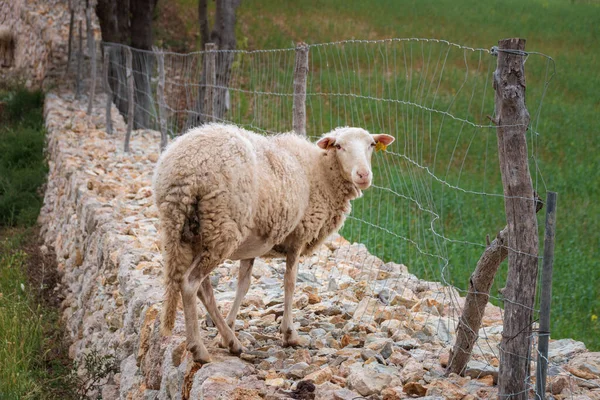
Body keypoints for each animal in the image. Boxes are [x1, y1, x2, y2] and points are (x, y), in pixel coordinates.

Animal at [152, 123, 394, 364]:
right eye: (339, 146)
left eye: (371, 145)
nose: (363, 175)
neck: (322, 172)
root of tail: (183, 169)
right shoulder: (298, 237)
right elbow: (290, 283)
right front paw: (289, 334)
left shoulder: (252, 246)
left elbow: (243, 285)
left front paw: (227, 330)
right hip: (222, 227)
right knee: (190, 283)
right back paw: (199, 349)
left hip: (191, 233)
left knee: (204, 288)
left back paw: (231, 341)